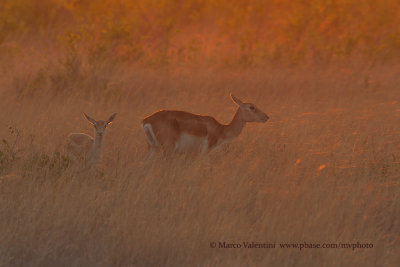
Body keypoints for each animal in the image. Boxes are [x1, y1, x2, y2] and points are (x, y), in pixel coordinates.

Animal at [142, 94, 270, 156]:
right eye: (252, 107)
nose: (266, 117)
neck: (221, 129)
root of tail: (147, 120)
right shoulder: (205, 152)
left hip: (152, 148)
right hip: (168, 150)